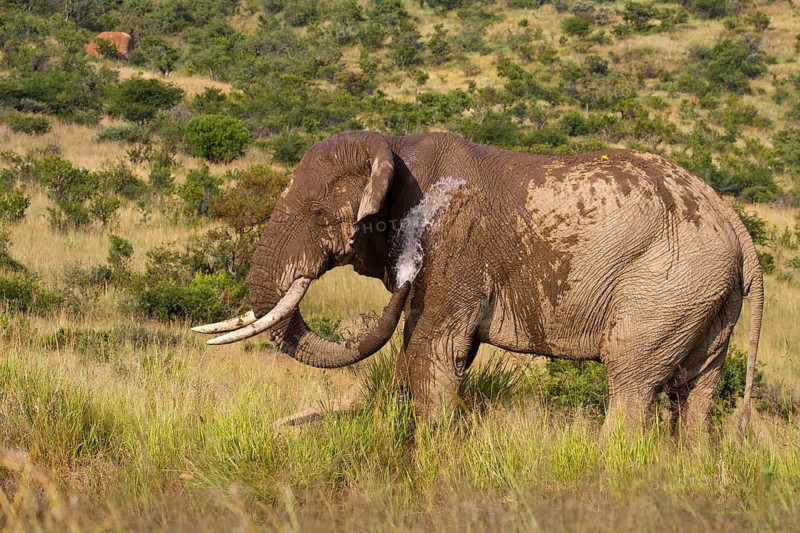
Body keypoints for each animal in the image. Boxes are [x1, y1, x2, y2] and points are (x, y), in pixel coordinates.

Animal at [193, 130, 763, 435]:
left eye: (317, 212)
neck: (396, 148)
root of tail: (733, 221)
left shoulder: (451, 242)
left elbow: (433, 347)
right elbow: (426, 352)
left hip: (667, 286)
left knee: (632, 381)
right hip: (707, 296)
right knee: (696, 391)